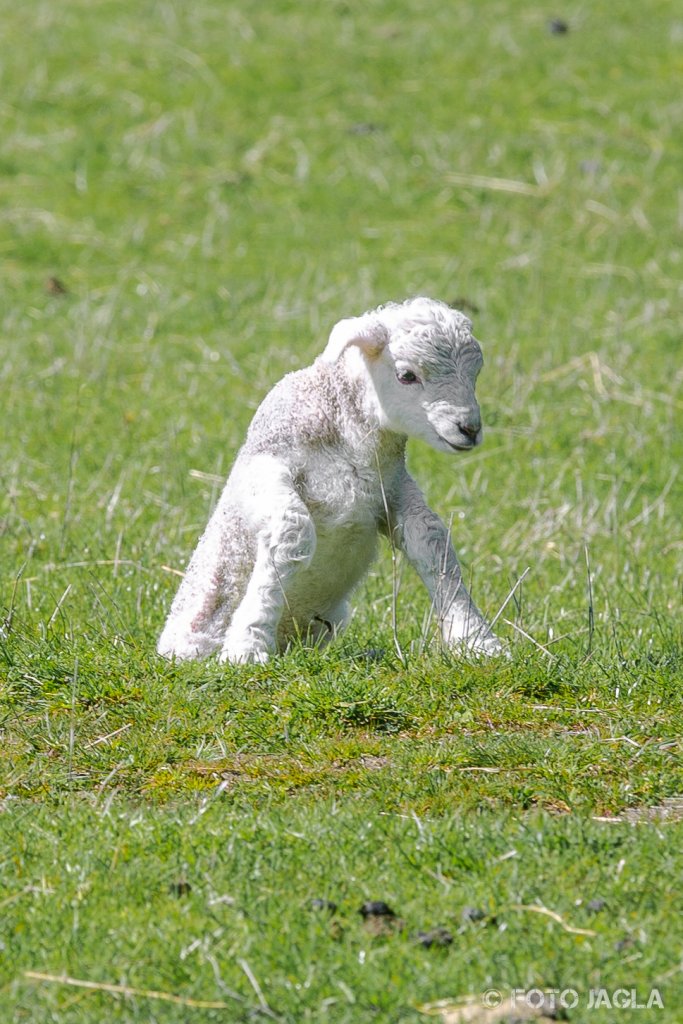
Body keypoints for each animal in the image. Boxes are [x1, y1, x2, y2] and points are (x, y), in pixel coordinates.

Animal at [158, 296, 501, 663]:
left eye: (476, 373)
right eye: (406, 375)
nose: (469, 428)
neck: (345, 433)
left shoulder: (392, 484)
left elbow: (430, 538)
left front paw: (476, 639)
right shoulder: (265, 462)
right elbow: (291, 529)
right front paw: (247, 644)